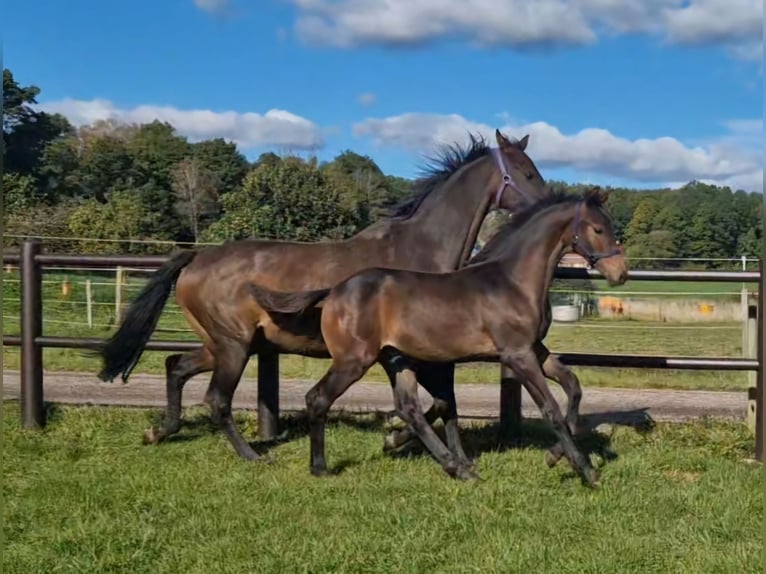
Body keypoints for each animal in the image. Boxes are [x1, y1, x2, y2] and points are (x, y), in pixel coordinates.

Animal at [99, 129, 556, 460]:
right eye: (527, 172)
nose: (549, 204)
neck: (417, 249)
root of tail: (195, 258)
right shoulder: (406, 353)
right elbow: (436, 404)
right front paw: (398, 442)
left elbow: (435, 404)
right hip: (233, 345)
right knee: (216, 399)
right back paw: (252, 455)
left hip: (223, 343)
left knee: (175, 366)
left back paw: (159, 431)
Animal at [252, 191, 632, 488]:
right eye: (598, 228)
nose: (620, 273)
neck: (513, 281)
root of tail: (334, 290)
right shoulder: (517, 355)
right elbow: (551, 408)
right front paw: (586, 471)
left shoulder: (534, 349)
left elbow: (574, 386)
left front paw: (555, 456)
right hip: (354, 360)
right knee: (318, 398)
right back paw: (320, 468)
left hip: (396, 359)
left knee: (408, 408)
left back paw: (455, 467)